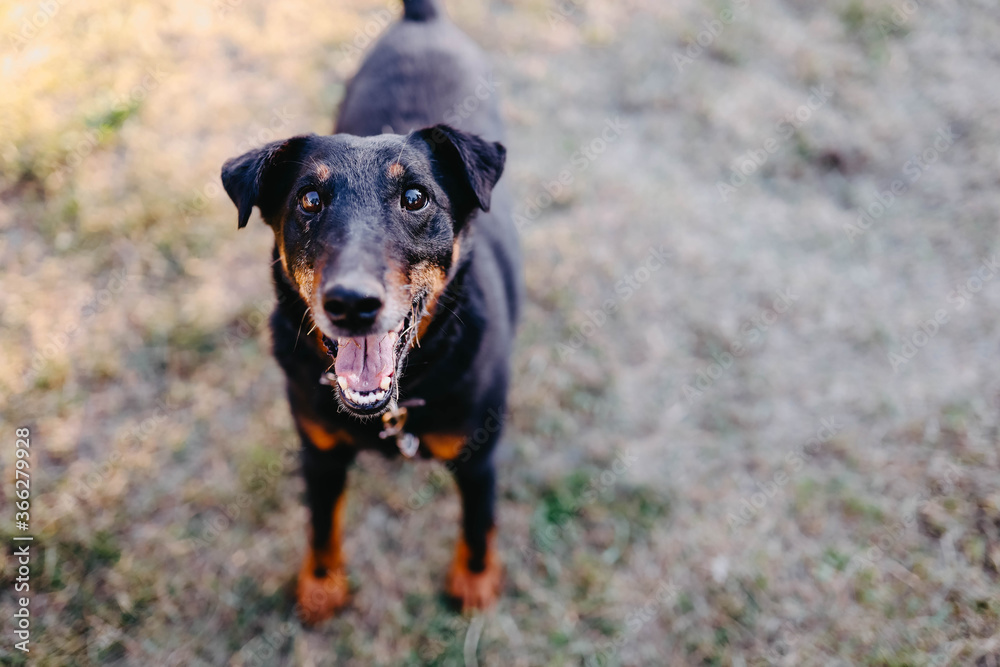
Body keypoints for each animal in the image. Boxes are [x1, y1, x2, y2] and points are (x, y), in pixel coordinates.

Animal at [217, 0, 516, 628]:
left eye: (415, 198)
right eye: (309, 200)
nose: (351, 304)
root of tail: (422, 18)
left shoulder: (479, 454)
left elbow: (478, 524)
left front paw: (474, 582)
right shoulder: (319, 452)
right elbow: (321, 523)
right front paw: (321, 585)